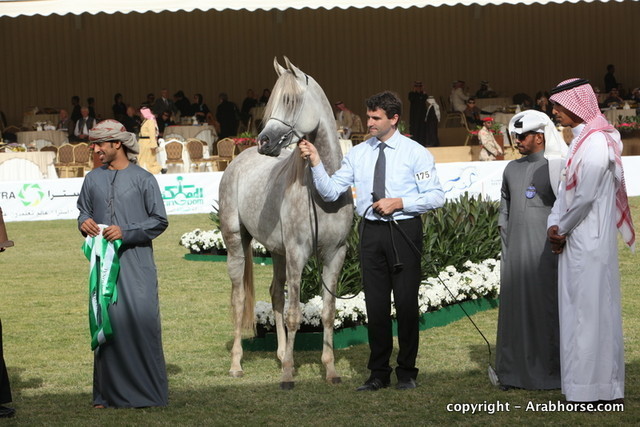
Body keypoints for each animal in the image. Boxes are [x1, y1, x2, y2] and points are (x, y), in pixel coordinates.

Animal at [219, 57, 354, 389]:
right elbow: (294, 314)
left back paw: (280, 354)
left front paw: (330, 370)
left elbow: (328, 312)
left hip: (277, 253)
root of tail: (238, 160)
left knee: (275, 295)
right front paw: (289, 374)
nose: (264, 141)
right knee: (239, 299)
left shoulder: (335, 254)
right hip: (237, 243)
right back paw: (237, 365)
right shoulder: (297, 254)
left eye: (291, 100)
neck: (321, 190)